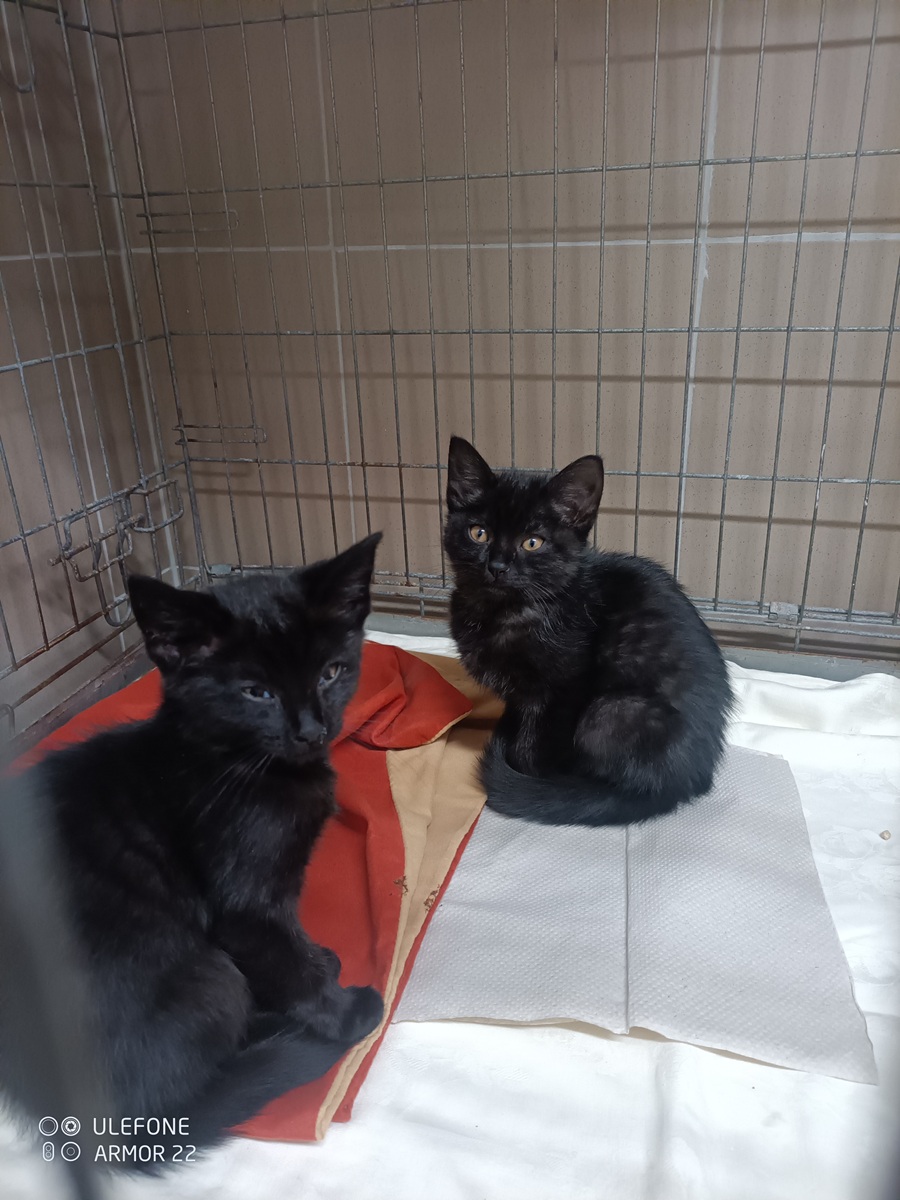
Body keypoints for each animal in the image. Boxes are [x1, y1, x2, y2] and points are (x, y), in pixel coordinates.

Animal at [0, 534, 385, 1166]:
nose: (311, 730)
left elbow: (289, 938)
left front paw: (317, 957)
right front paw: (340, 1011)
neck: (235, 760)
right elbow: (283, 958)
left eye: (332, 672)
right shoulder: (245, 904)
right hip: (209, 974)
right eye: (257, 693)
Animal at [444, 438, 733, 827]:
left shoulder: (564, 689)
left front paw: (533, 784)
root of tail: (686, 784)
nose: (497, 566)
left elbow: (533, 746)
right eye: (479, 533)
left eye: (532, 542)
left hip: (610, 711)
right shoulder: (521, 698)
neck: (506, 612)